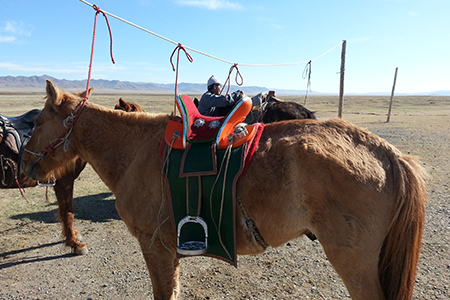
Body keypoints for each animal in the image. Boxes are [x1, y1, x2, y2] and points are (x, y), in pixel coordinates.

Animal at [22, 80, 428, 300]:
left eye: (38, 121)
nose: (25, 166)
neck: (134, 150)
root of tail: (387, 153)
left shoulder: (154, 246)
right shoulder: (169, 250)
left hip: (354, 262)